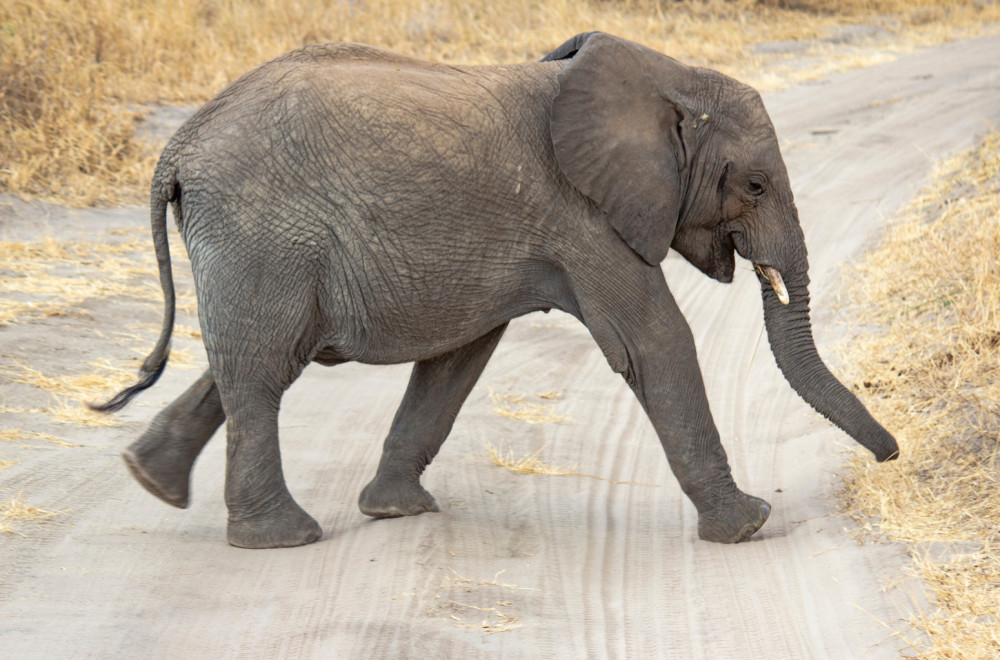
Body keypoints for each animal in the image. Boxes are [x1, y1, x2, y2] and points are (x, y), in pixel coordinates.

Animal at [95, 33, 900, 552]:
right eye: (755, 184)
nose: (891, 456)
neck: (663, 78)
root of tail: (179, 146)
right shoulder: (584, 215)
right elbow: (654, 342)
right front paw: (749, 527)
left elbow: (459, 358)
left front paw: (395, 512)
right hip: (263, 231)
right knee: (263, 371)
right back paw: (280, 539)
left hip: (257, 245)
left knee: (248, 360)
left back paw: (150, 481)